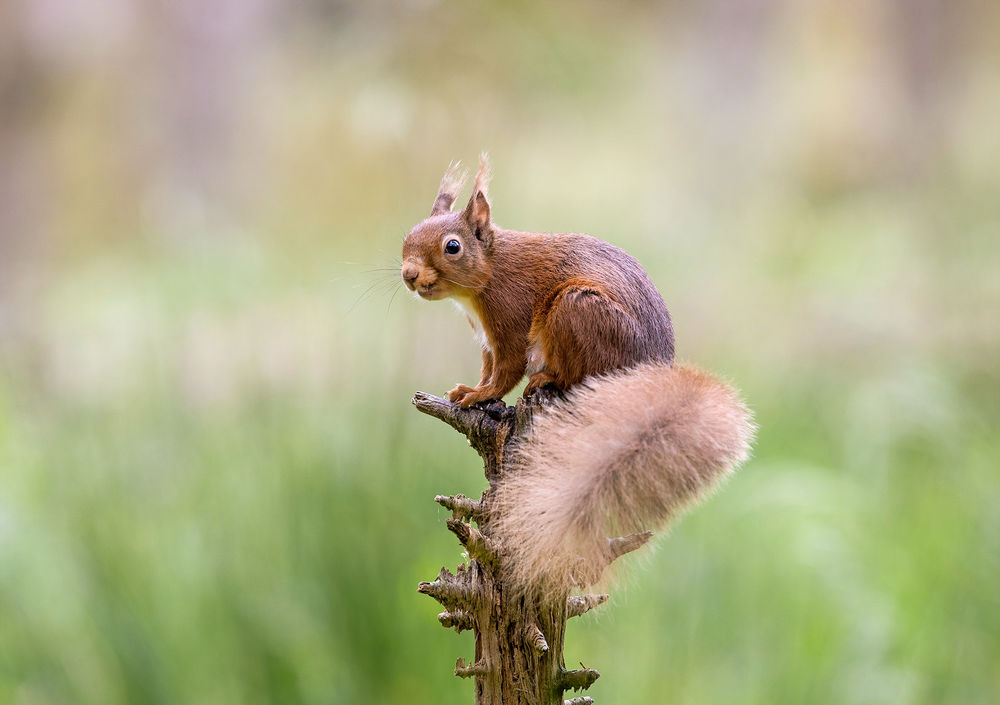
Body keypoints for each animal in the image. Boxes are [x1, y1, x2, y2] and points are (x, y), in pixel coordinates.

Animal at [402, 155, 754, 592]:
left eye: (453, 246)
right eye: (407, 236)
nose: (409, 274)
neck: (490, 270)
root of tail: (650, 372)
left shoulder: (511, 322)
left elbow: (506, 372)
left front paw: (478, 397)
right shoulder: (485, 340)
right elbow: (488, 370)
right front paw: (470, 389)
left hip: (576, 309)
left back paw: (548, 379)